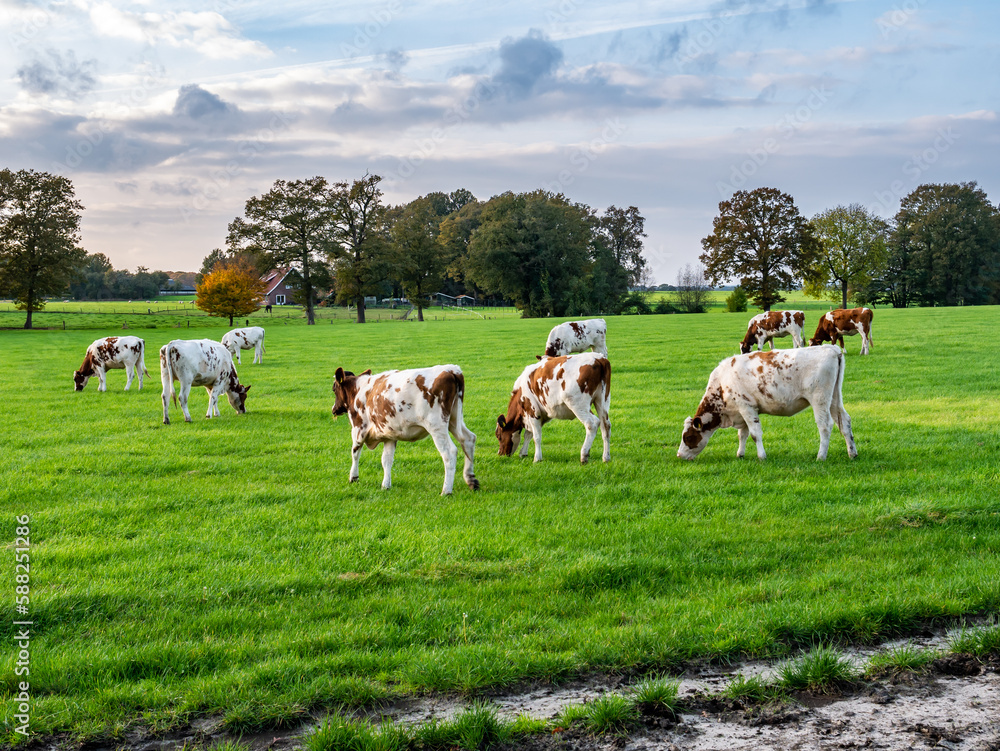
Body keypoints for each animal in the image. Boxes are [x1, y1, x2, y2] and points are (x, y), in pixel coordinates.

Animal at [332, 365, 479, 495]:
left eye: (334, 389)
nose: (334, 409)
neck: (359, 390)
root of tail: (451, 370)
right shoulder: (390, 435)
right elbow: (386, 460)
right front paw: (386, 485)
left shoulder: (358, 429)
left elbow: (355, 453)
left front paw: (353, 477)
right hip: (454, 419)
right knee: (468, 439)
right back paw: (471, 479)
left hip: (437, 426)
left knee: (449, 452)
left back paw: (446, 491)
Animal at [677, 346, 857, 462]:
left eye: (688, 437)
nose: (679, 455)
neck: (721, 383)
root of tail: (831, 349)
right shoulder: (742, 410)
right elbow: (743, 434)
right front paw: (740, 454)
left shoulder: (746, 407)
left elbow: (755, 434)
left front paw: (761, 456)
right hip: (834, 399)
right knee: (844, 421)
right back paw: (852, 453)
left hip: (819, 399)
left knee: (825, 425)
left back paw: (821, 456)